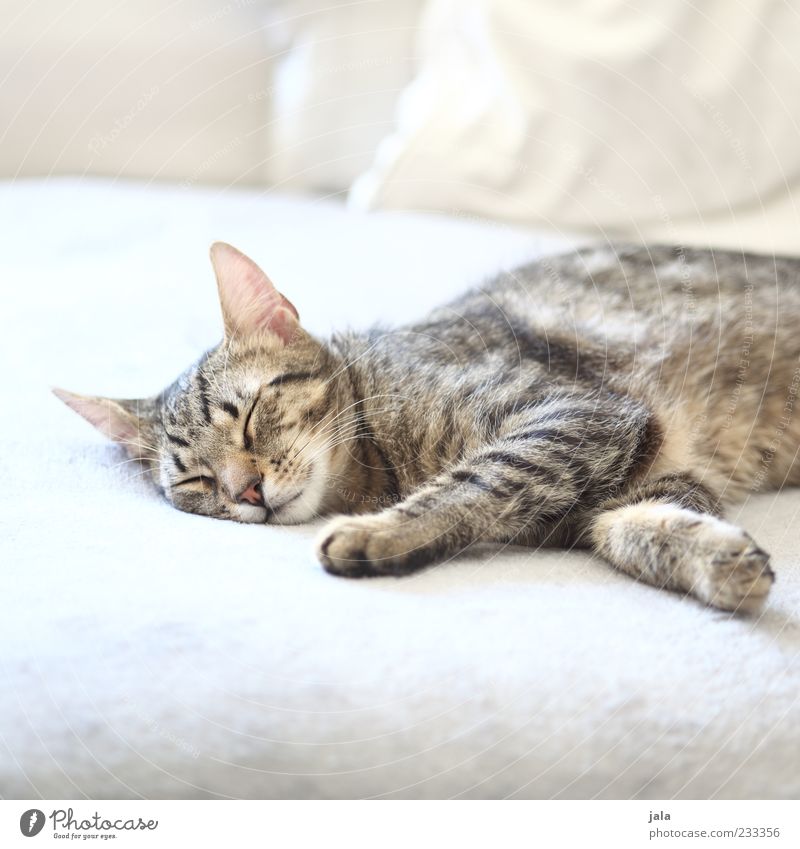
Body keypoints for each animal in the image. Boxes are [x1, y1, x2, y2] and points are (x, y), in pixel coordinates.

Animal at [57, 238, 800, 608]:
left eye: (249, 417)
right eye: (197, 484)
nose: (247, 490)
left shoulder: (578, 414)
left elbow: (483, 477)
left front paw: (378, 533)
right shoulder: (642, 470)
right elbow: (628, 528)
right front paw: (718, 560)